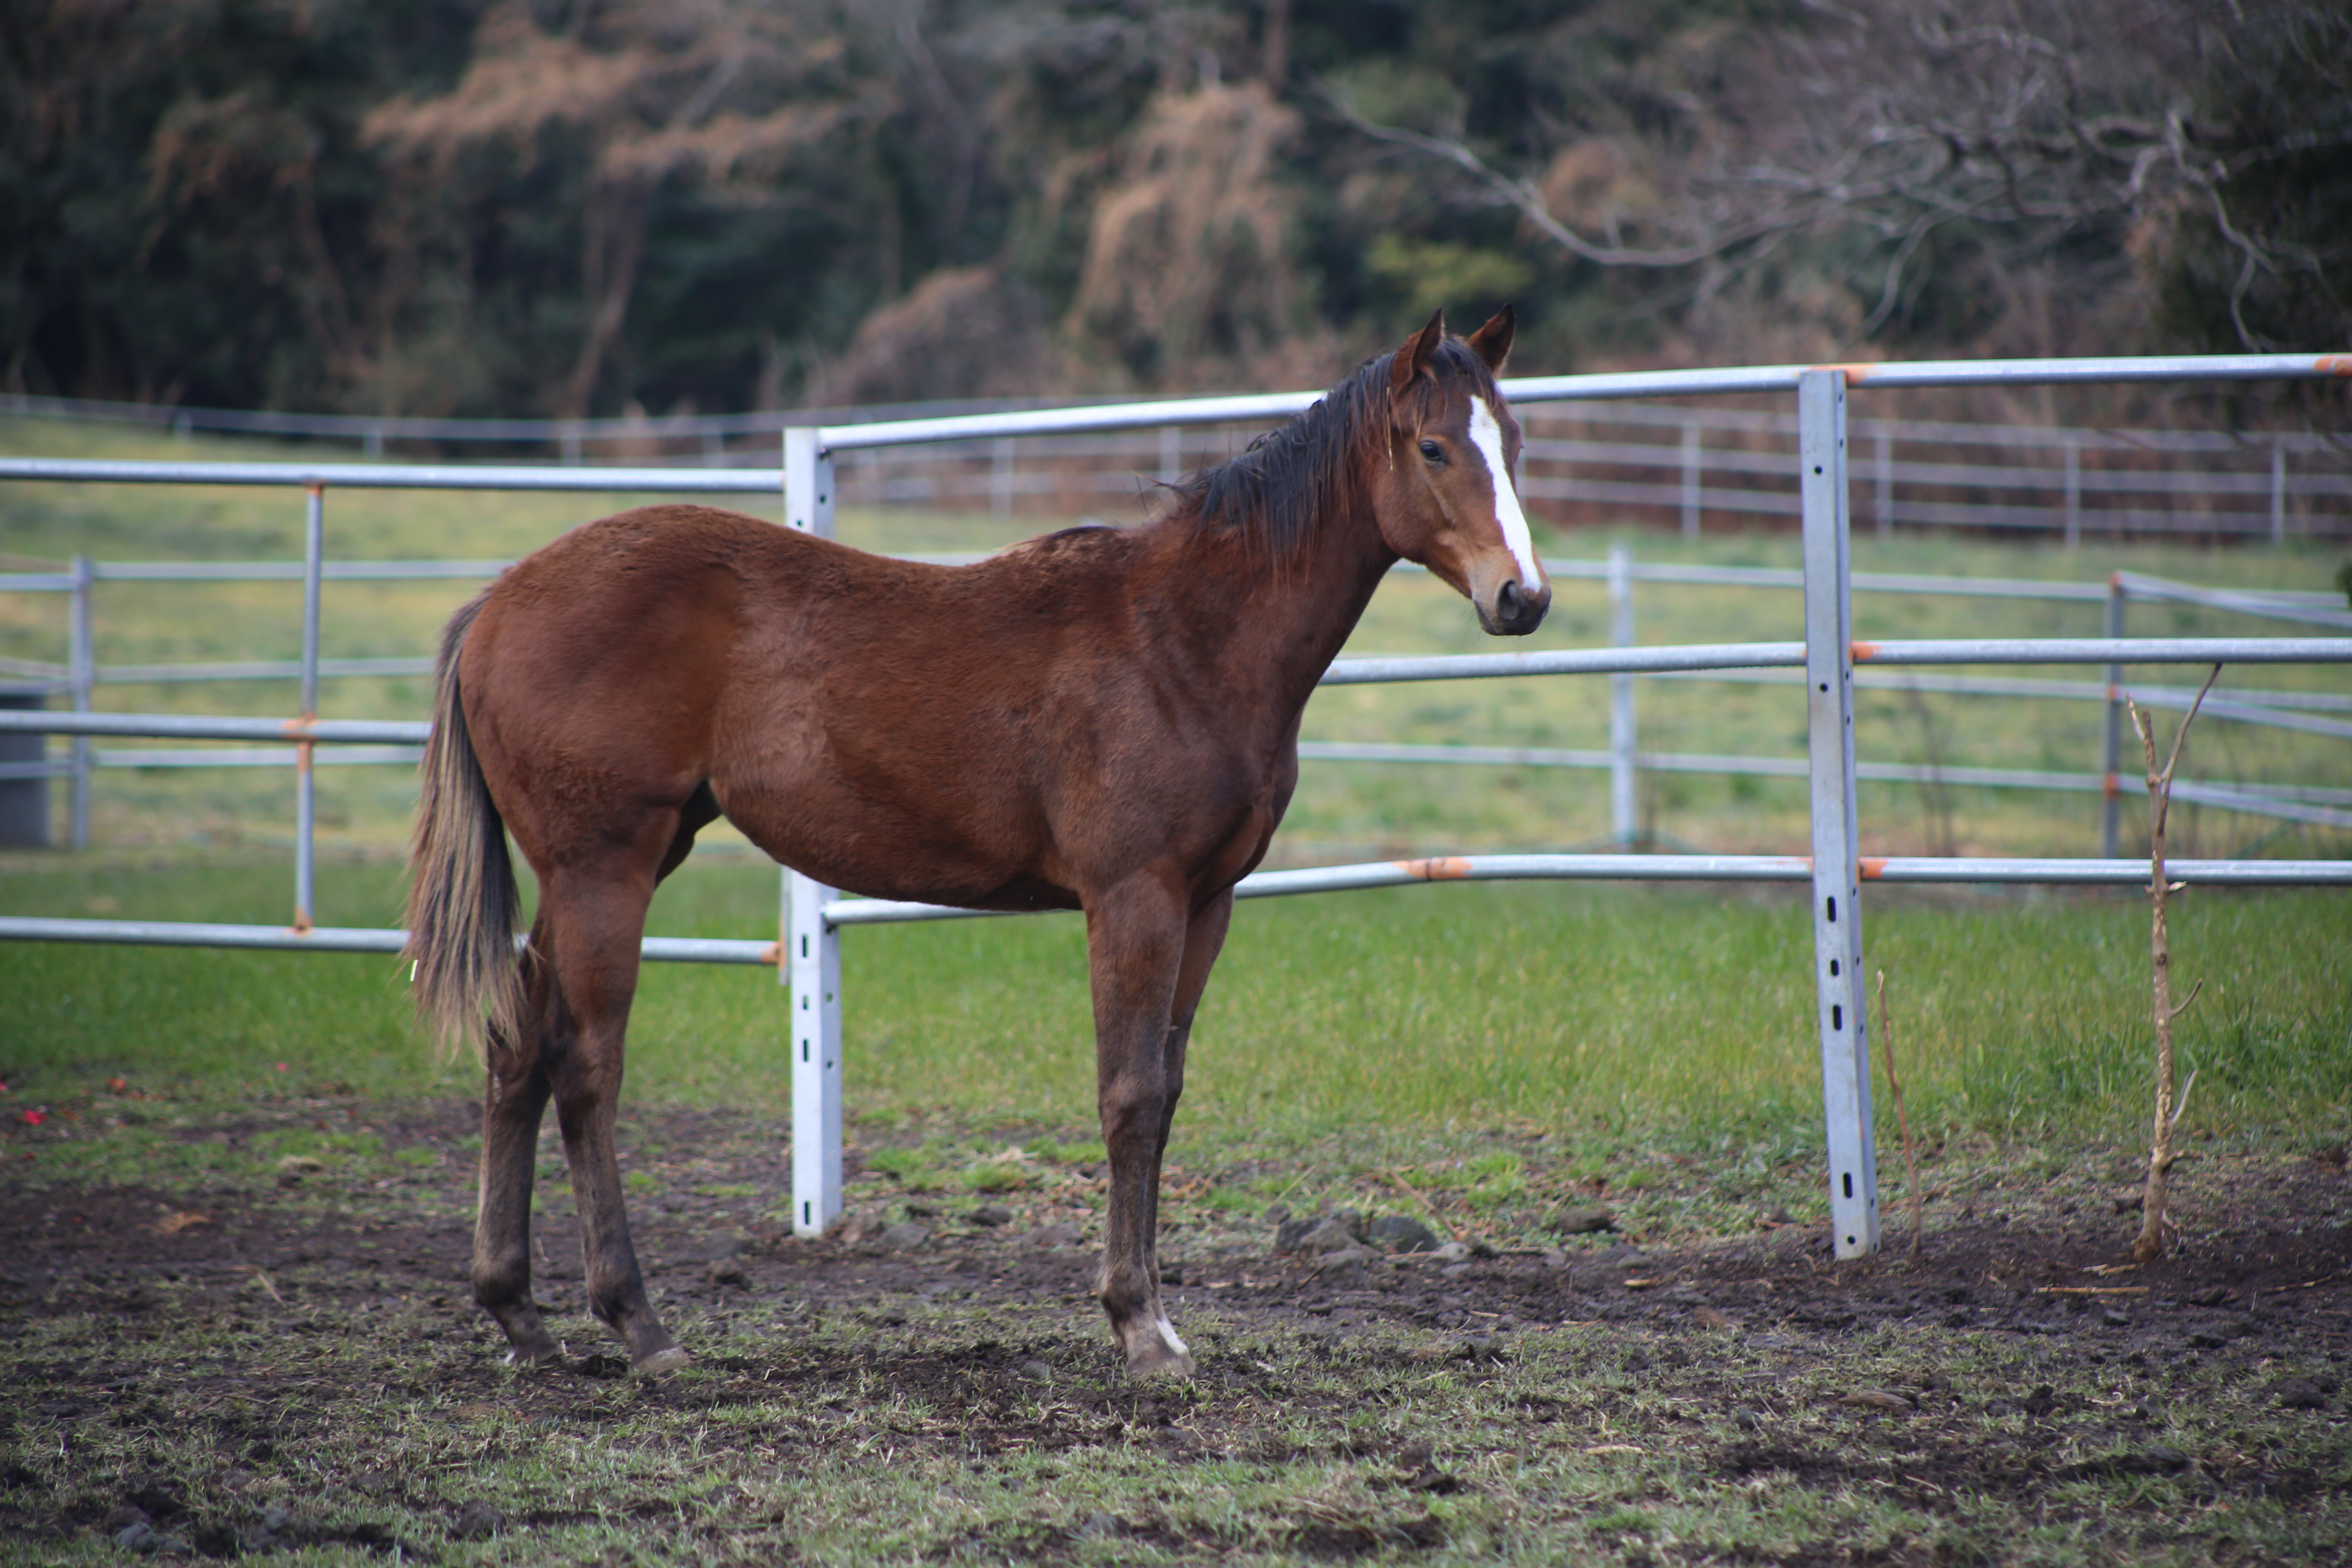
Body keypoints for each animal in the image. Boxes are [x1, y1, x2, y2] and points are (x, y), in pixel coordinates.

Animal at [404, 305, 1543, 1373]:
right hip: (608, 867)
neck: (1183, 640)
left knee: (517, 1048)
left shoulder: (1207, 901)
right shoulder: (1133, 896)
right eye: (1433, 448)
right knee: (585, 1065)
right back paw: (638, 1322)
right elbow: (1129, 1095)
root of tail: (498, 602)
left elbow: (1166, 1092)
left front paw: (1161, 1319)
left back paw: (518, 1312)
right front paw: (1137, 1325)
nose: (1521, 596)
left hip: (591, 871)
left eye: (1515, 440)